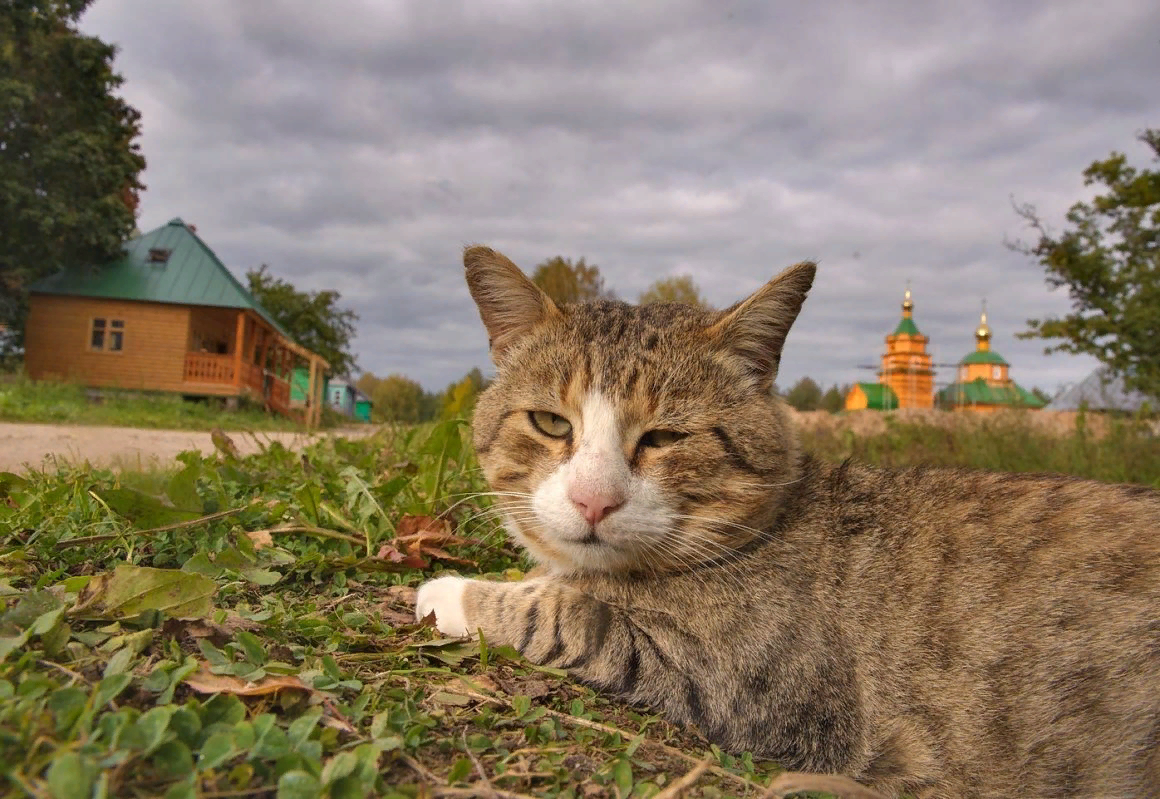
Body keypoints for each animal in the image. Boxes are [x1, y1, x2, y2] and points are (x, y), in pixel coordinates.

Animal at [417, 244, 1160, 797]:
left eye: (665, 437)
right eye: (549, 422)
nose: (593, 500)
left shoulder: (746, 680)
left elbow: (566, 613)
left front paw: (449, 591)